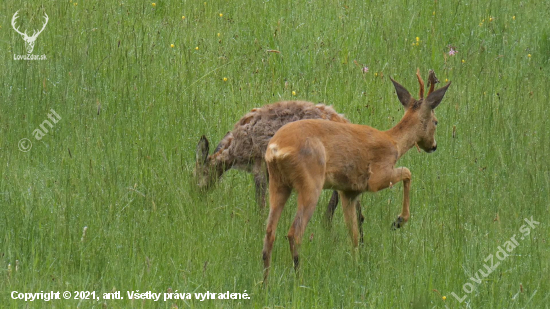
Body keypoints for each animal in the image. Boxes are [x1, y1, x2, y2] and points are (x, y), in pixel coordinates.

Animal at [264, 70, 452, 282]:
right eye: (436, 121)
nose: (433, 146)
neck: (394, 142)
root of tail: (276, 148)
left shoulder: (348, 192)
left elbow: (353, 234)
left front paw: (356, 266)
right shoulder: (377, 177)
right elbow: (407, 172)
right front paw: (398, 220)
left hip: (278, 184)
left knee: (269, 232)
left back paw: (265, 281)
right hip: (310, 183)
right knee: (294, 233)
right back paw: (299, 278)